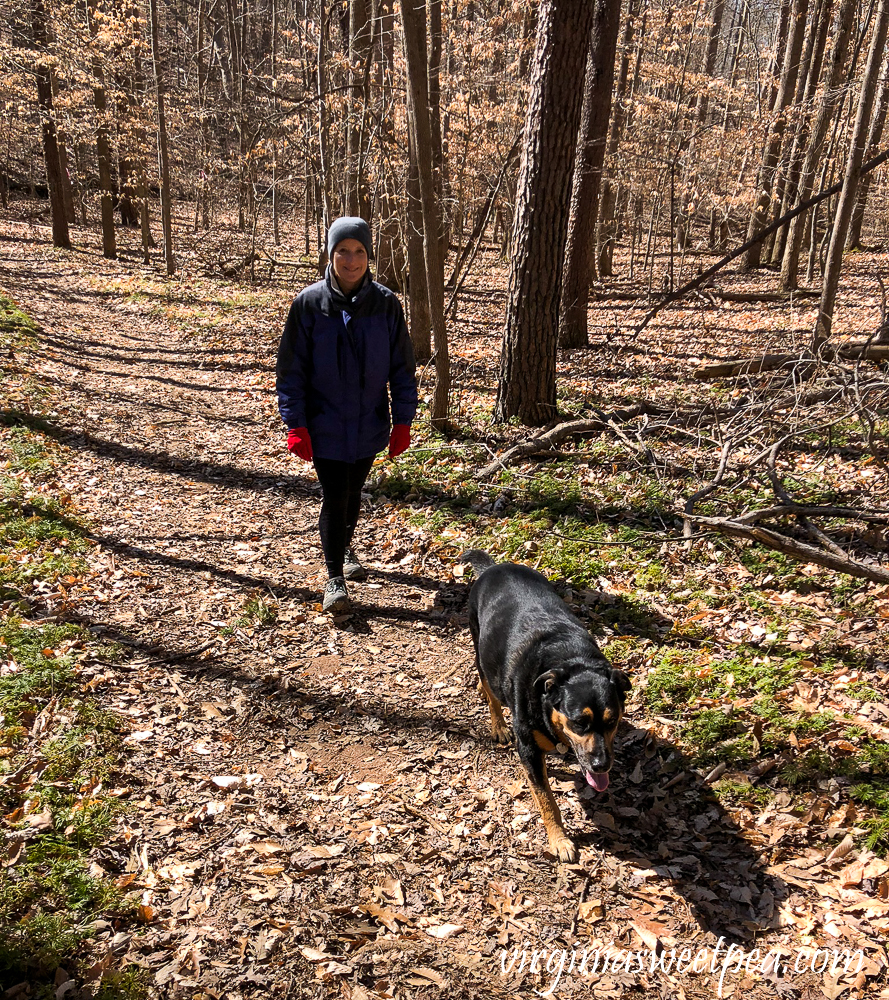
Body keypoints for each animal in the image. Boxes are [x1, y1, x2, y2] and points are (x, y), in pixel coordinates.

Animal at [462, 552, 628, 864]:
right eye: (579, 723)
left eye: (612, 722)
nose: (602, 765)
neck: (571, 660)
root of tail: (495, 566)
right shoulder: (528, 749)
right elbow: (546, 799)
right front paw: (559, 841)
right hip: (480, 645)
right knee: (490, 689)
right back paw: (498, 724)